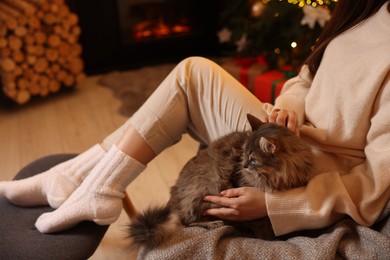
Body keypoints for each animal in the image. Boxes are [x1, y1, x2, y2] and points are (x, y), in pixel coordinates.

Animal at [128, 114, 314, 250]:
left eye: (253, 160)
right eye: (243, 153)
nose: (243, 165)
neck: (280, 177)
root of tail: (173, 198)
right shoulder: (254, 212)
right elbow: (264, 230)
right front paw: (270, 240)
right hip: (210, 184)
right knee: (186, 220)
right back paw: (213, 223)